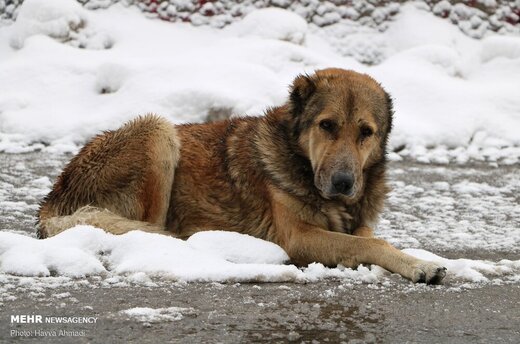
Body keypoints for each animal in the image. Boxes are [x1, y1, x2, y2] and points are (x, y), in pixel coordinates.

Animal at [38, 68, 446, 284]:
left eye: (366, 132)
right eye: (327, 125)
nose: (343, 184)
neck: (300, 163)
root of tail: (52, 200)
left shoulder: (354, 223)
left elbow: (371, 239)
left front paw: (419, 259)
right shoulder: (299, 238)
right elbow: (373, 244)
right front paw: (421, 266)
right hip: (158, 131)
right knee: (147, 232)